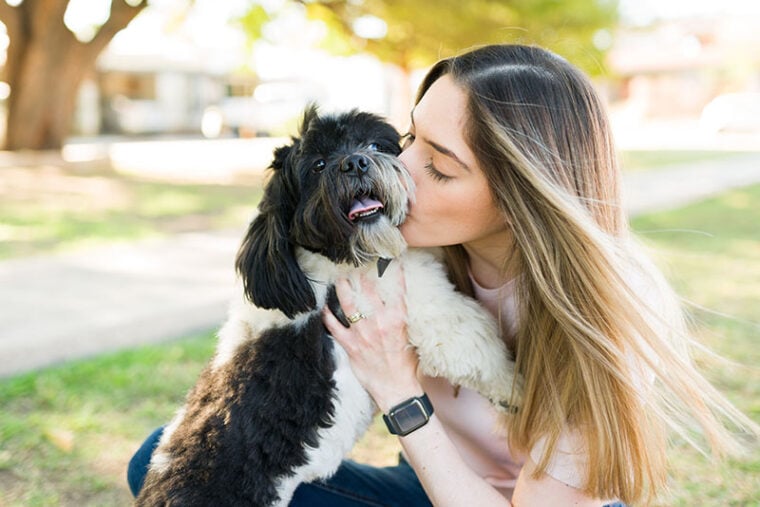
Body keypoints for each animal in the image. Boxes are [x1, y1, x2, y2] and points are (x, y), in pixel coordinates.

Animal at [135, 105, 516, 506]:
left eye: (374, 145)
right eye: (318, 165)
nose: (355, 162)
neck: (353, 259)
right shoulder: (431, 310)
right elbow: (480, 348)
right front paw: (516, 391)